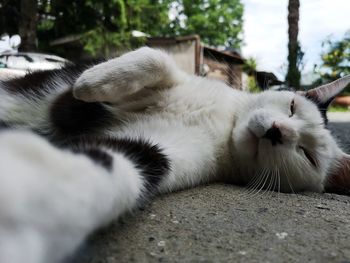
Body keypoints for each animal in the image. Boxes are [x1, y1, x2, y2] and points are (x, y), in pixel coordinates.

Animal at [0, 48, 350, 263]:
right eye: (291, 107)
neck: (223, 124)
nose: (277, 131)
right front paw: (91, 83)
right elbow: (156, 58)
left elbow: (106, 166)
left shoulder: (153, 151)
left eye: (307, 154)